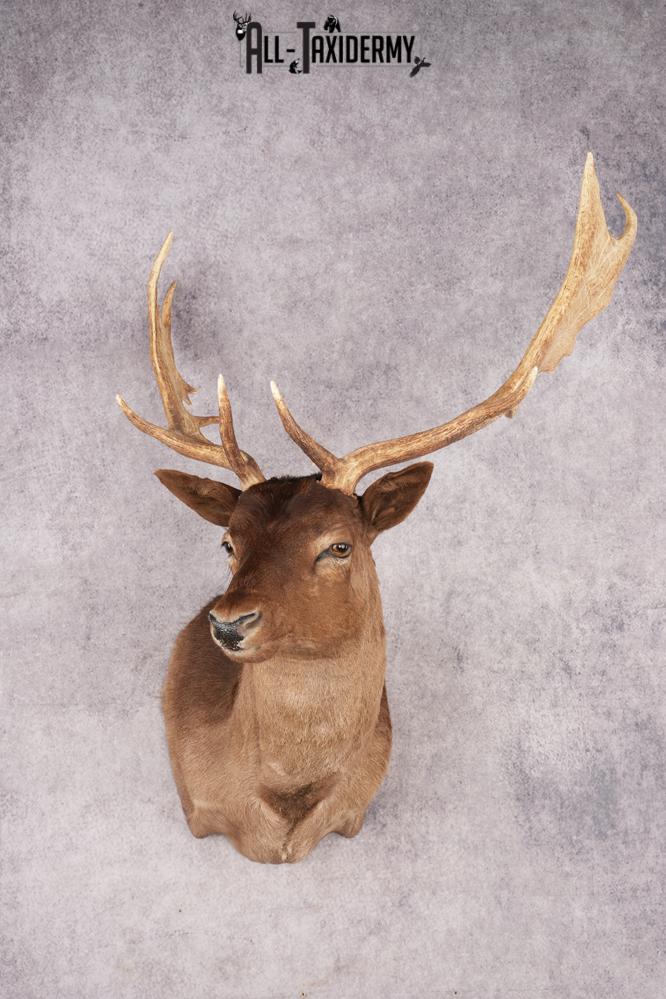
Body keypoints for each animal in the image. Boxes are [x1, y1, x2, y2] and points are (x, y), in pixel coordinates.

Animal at [116, 155, 636, 863]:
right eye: (227, 542)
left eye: (339, 544)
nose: (227, 622)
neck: (284, 812)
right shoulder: (199, 810)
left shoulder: (355, 813)